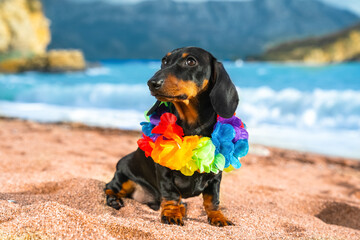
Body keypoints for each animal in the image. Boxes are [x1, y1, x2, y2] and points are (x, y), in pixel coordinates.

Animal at [104, 46, 239, 226]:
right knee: (109, 187)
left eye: (191, 61)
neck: (193, 127)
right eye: (164, 61)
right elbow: (171, 194)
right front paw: (172, 214)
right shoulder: (165, 173)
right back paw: (114, 199)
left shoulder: (215, 176)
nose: (152, 83)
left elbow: (212, 199)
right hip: (123, 175)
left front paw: (218, 217)